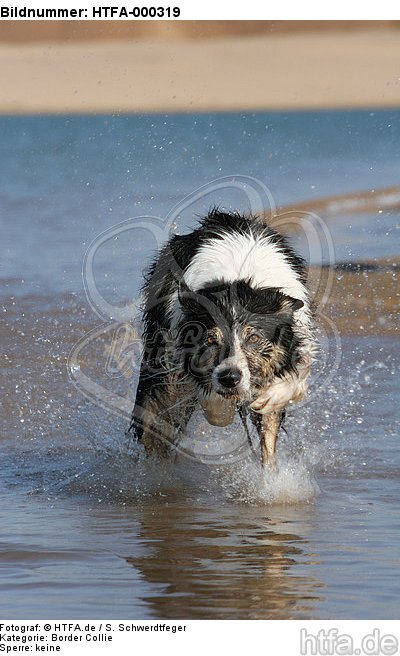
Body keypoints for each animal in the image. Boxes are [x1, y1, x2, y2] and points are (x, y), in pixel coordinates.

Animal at [128, 210, 316, 466]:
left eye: (253, 338)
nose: (229, 378)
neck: (237, 279)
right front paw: (220, 408)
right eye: (209, 339)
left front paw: (272, 396)